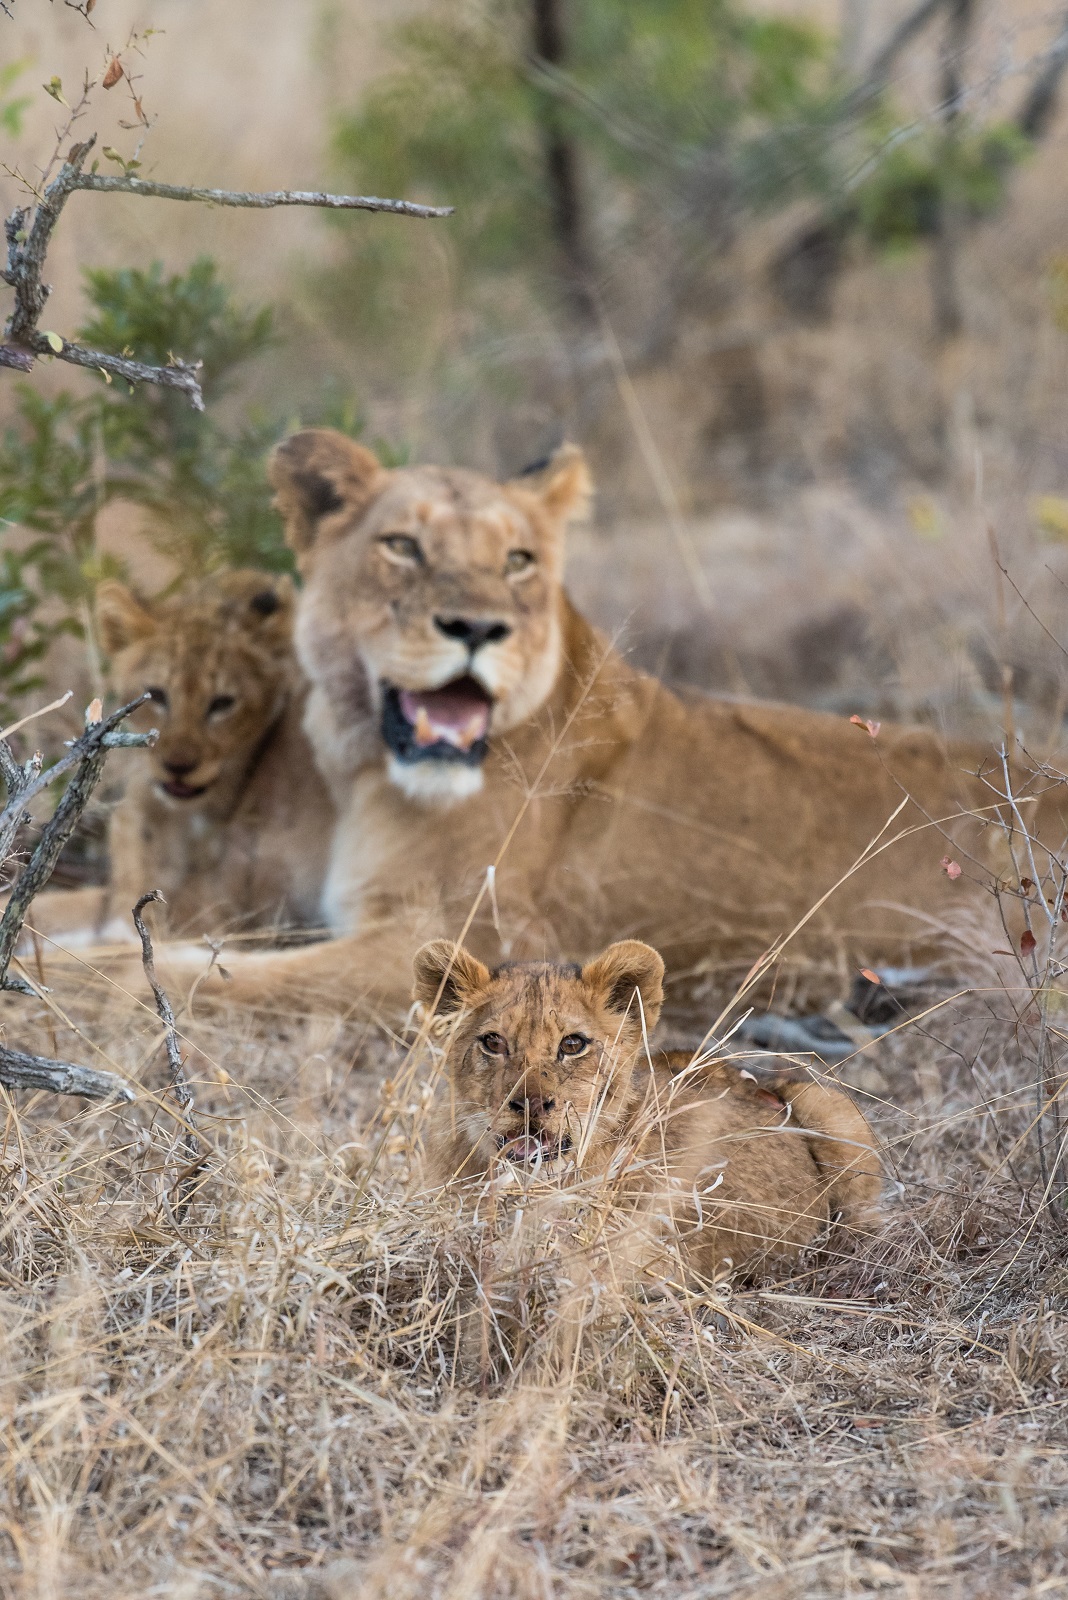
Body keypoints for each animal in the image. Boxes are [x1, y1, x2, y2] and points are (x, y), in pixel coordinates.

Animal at [96, 429, 1066, 1018]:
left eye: (519, 560)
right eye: (401, 547)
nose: (477, 627)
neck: (363, 772)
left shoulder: (450, 944)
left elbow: (170, 975)